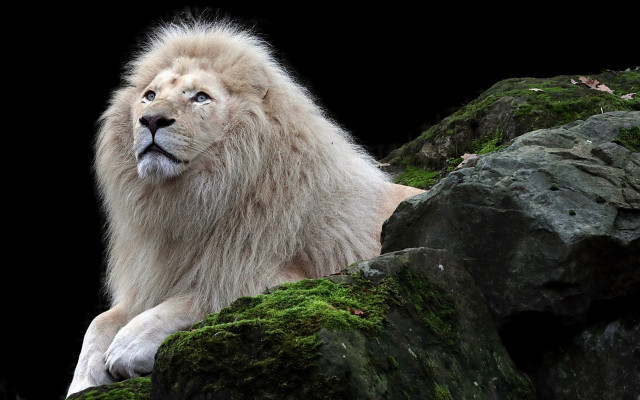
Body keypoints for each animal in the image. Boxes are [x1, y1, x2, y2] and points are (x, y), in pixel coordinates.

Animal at [67, 17, 424, 397]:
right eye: (150, 96)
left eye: (201, 98)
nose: (150, 120)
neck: (186, 202)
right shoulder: (152, 278)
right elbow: (98, 322)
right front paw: (82, 381)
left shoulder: (287, 276)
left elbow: (205, 297)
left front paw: (127, 347)